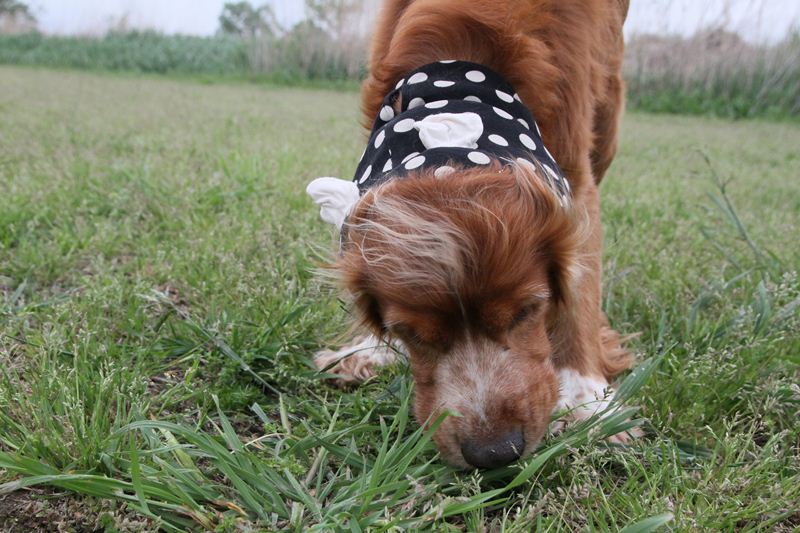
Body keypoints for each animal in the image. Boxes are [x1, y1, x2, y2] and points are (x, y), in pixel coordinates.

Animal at [307, 0, 633, 469]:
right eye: (409, 332)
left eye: (528, 310)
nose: (495, 453)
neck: (458, 81)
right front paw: (368, 349)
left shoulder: (574, 166)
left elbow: (580, 287)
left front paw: (587, 400)